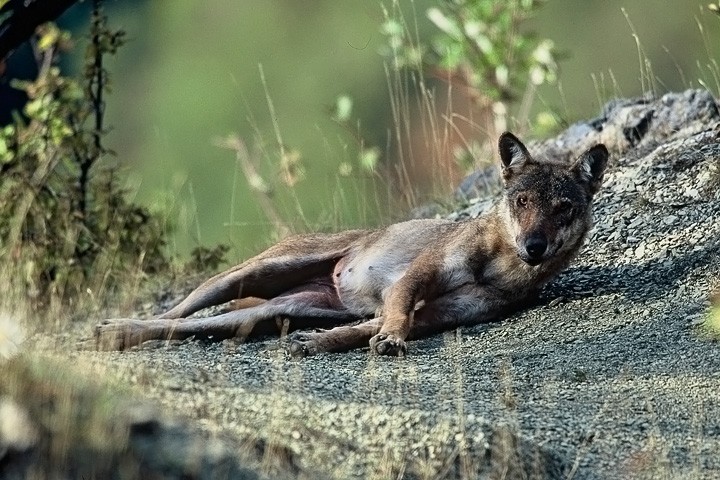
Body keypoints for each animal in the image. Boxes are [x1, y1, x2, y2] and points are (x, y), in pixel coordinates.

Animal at [95, 132, 608, 356]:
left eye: (563, 208)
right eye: (522, 201)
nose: (534, 245)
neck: (501, 266)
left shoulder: (437, 315)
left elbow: (366, 331)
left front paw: (320, 344)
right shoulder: (414, 279)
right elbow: (397, 313)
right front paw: (391, 340)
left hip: (264, 315)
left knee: (187, 327)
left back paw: (120, 336)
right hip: (245, 276)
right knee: (175, 313)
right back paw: (111, 327)